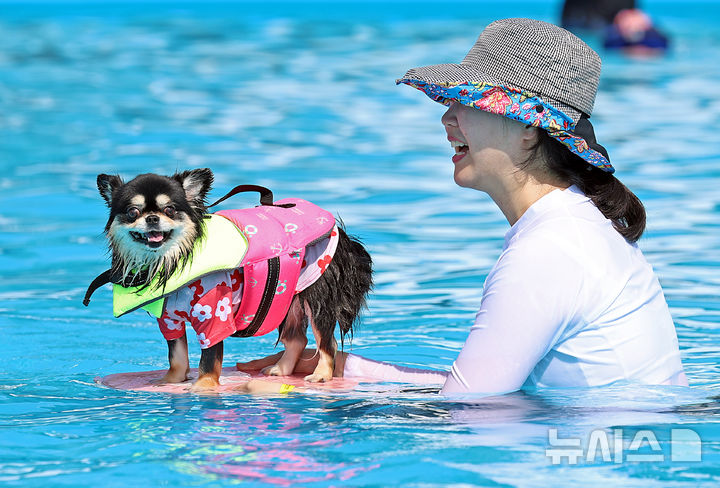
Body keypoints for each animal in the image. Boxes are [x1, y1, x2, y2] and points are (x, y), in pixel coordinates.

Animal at [90, 168, 374, 388]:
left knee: (326, 341)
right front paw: (171, 380)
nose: (151, 218)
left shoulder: (214, 316)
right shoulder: (169, 320)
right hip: (286, 299)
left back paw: (321, 374)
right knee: (298, 339)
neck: (172, 260)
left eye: (169, 209)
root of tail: (342, 235)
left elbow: (208, 359)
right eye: (132, 212)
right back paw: (281, 370)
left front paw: (203, 387)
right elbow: (177, 355)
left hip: (315, 296)